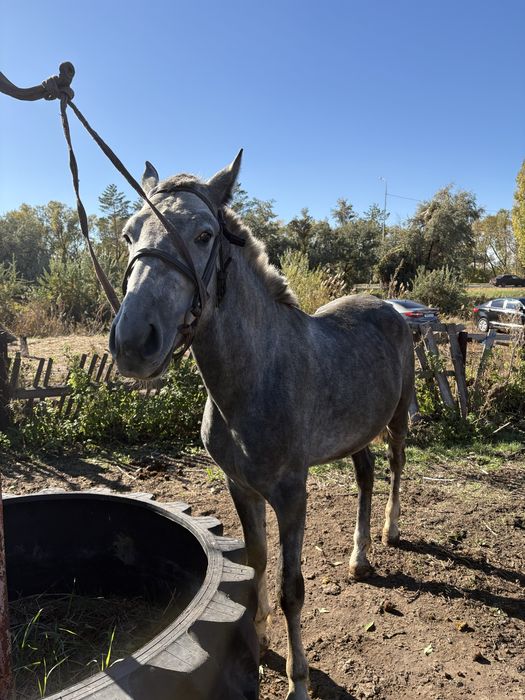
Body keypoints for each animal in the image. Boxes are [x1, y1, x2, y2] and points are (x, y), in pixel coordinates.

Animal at [109, 152, 415, 700]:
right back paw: (358, 557)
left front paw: (298, 681)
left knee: (397, 467)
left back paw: (390, 531)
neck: (255, 377)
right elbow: (255, 565)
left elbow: (293, 588)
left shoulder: (291, 495)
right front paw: (259, 637)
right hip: (356, 433)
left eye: (205, 234)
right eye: (129, 234)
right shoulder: (241, 487)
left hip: (397, 418)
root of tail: (390, 307)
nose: (133, 341)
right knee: (366, 476)